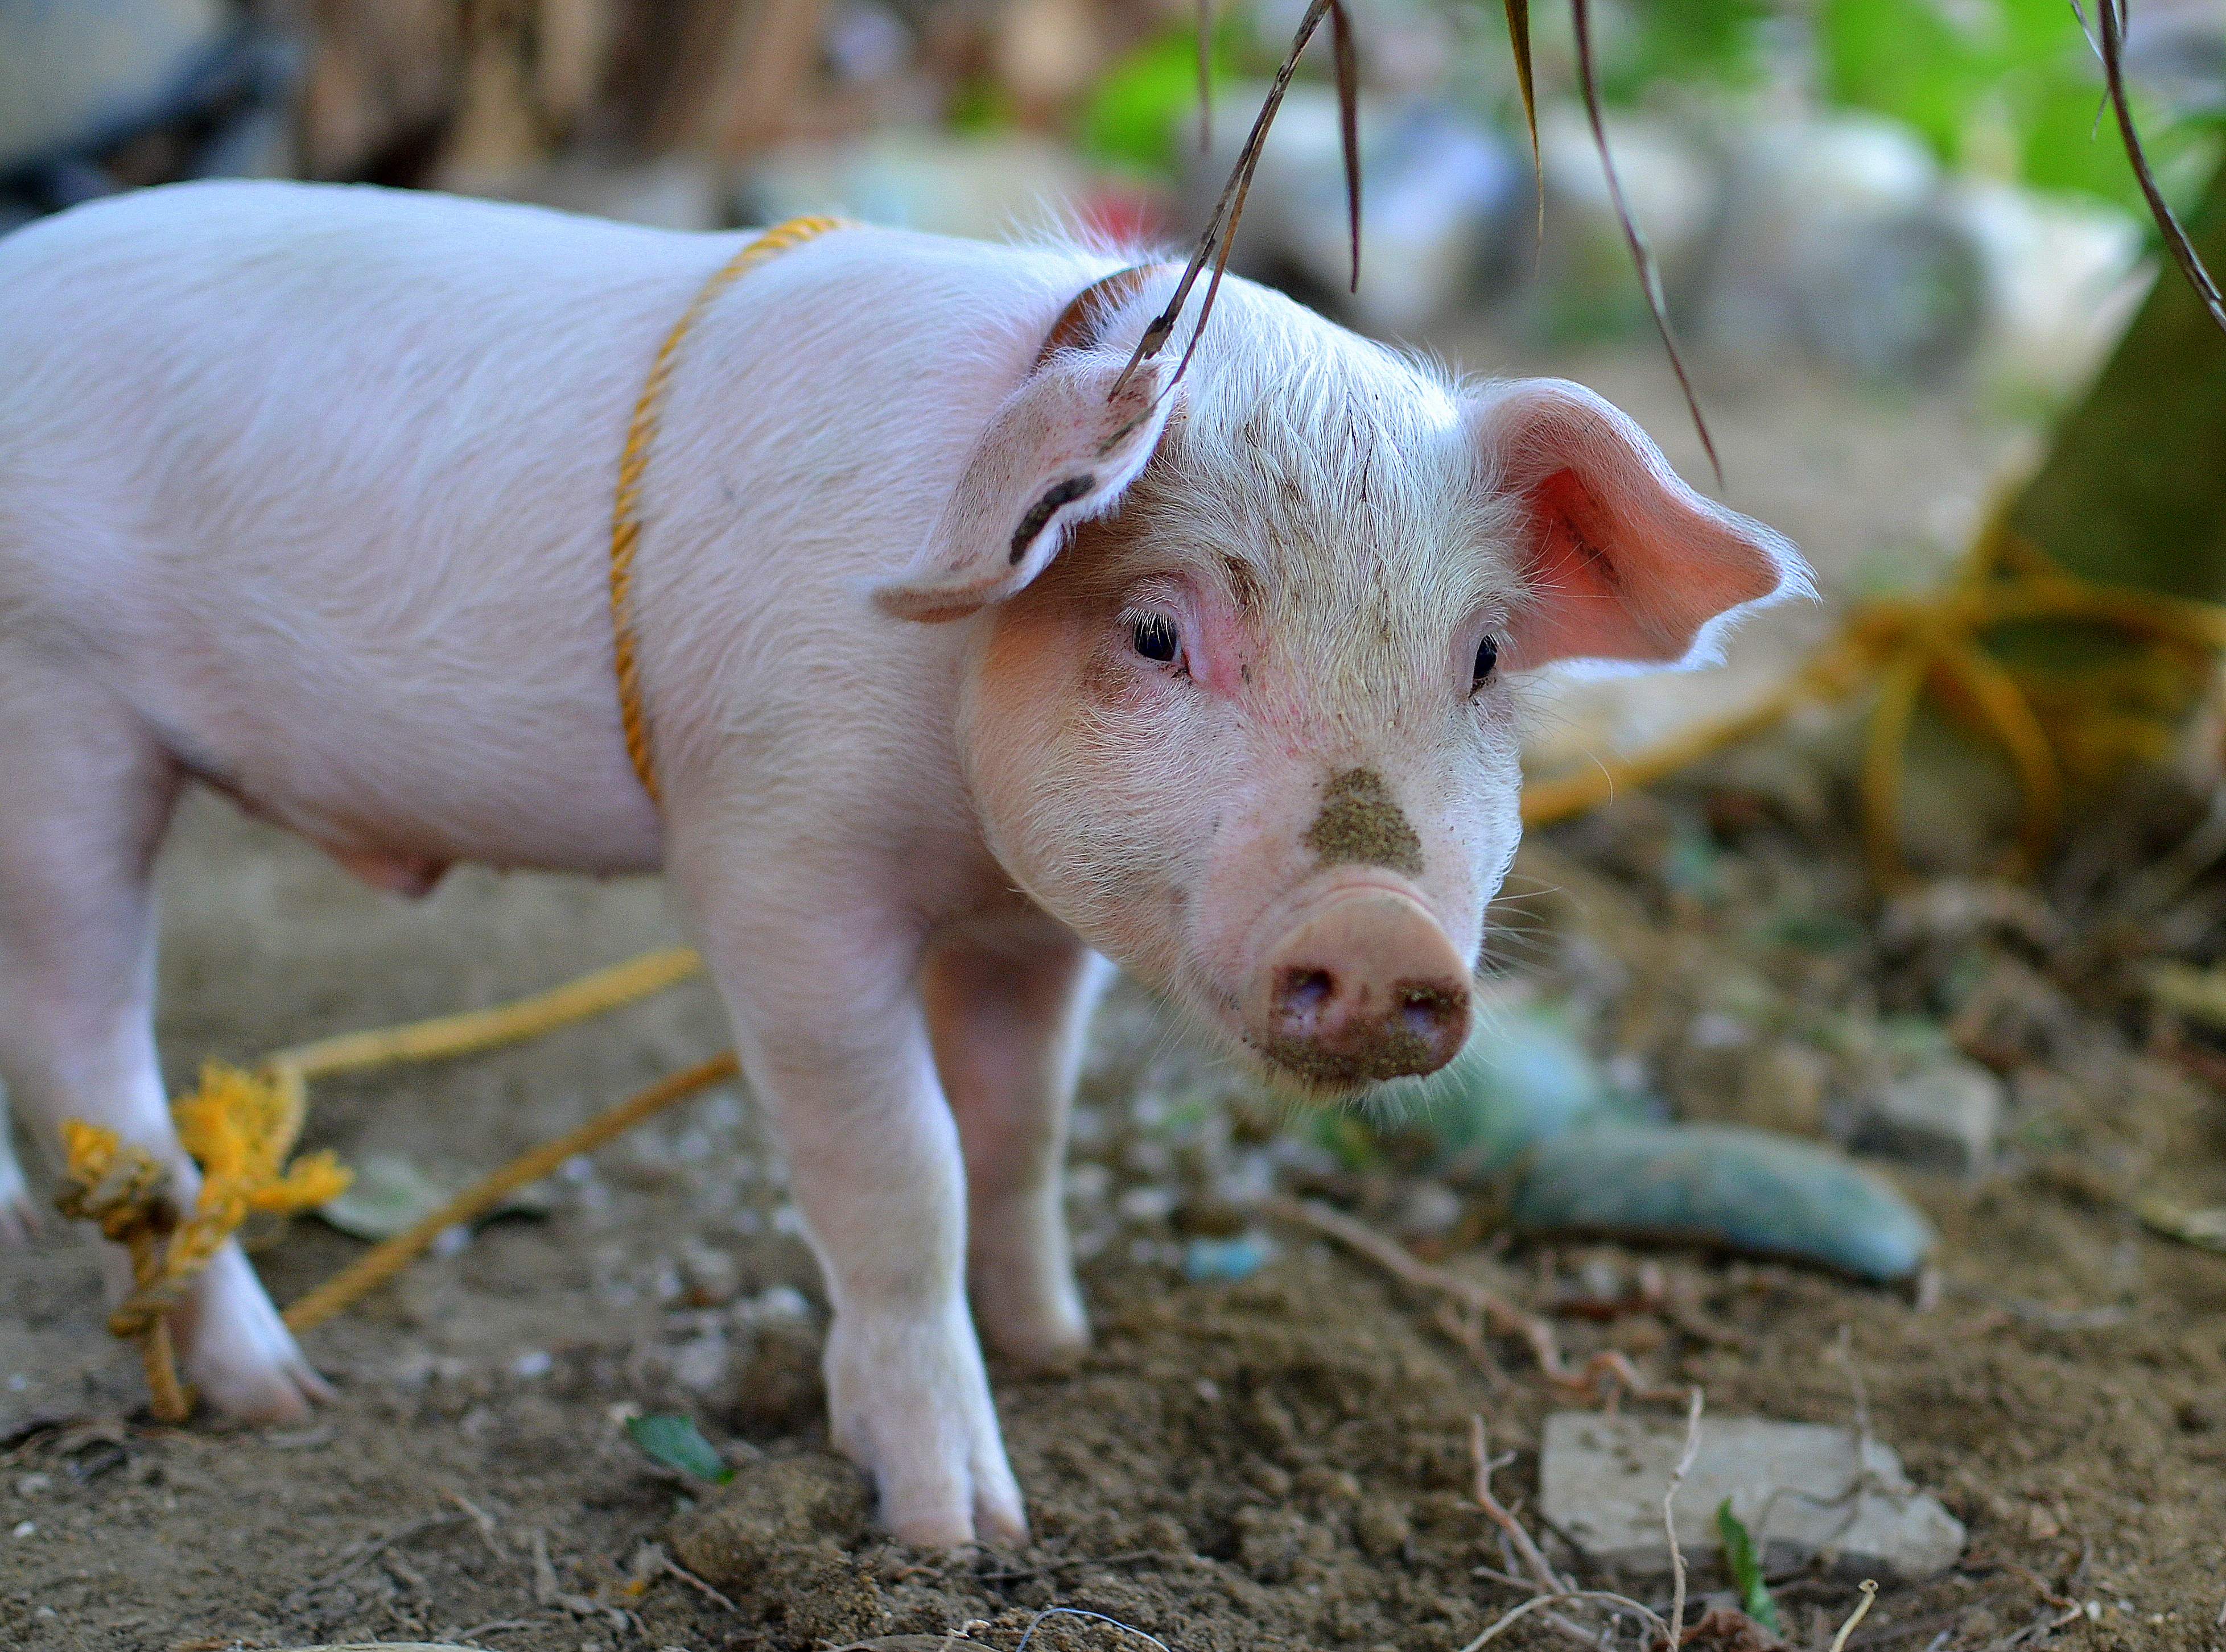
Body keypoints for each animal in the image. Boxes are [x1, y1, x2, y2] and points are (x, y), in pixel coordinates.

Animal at [0, 179, 1806, 1545]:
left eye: (1485, 658)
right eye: (1153, 632)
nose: (1382, 933)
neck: (955, 833)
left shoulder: (1030, 923)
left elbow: (1021, 1123)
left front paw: (1060, 1346)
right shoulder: (771, 860)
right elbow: (905, 1167)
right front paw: (962, 1527)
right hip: (61, 720)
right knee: (91, 1056)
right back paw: (274, 1391)